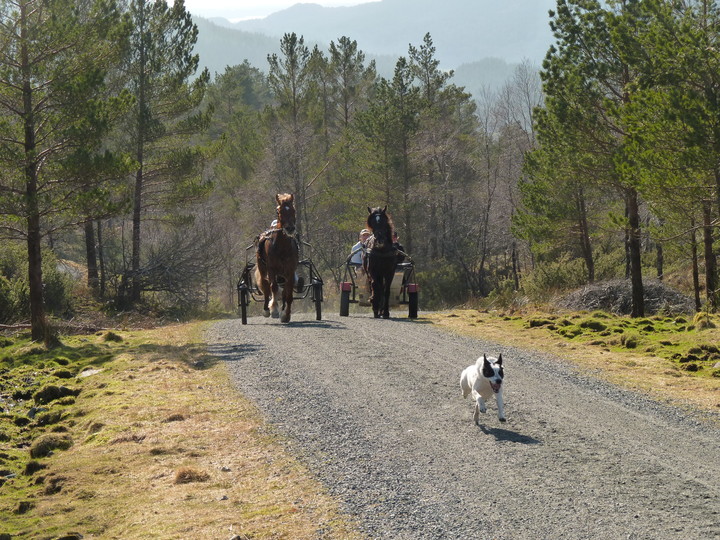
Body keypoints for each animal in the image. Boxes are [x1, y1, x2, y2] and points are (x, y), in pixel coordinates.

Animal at [256, 193, 298, 322]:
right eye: (279, 211)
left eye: (293, 210)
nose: (290, 228)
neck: (282, 247)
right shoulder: (271, 269)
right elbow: (273, 288)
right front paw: (273, 309)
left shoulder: (290, 270)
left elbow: (288, 294)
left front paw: (286, 315)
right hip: (262, 268)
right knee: (266, 286)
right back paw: (266, 309)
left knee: (283, 291)